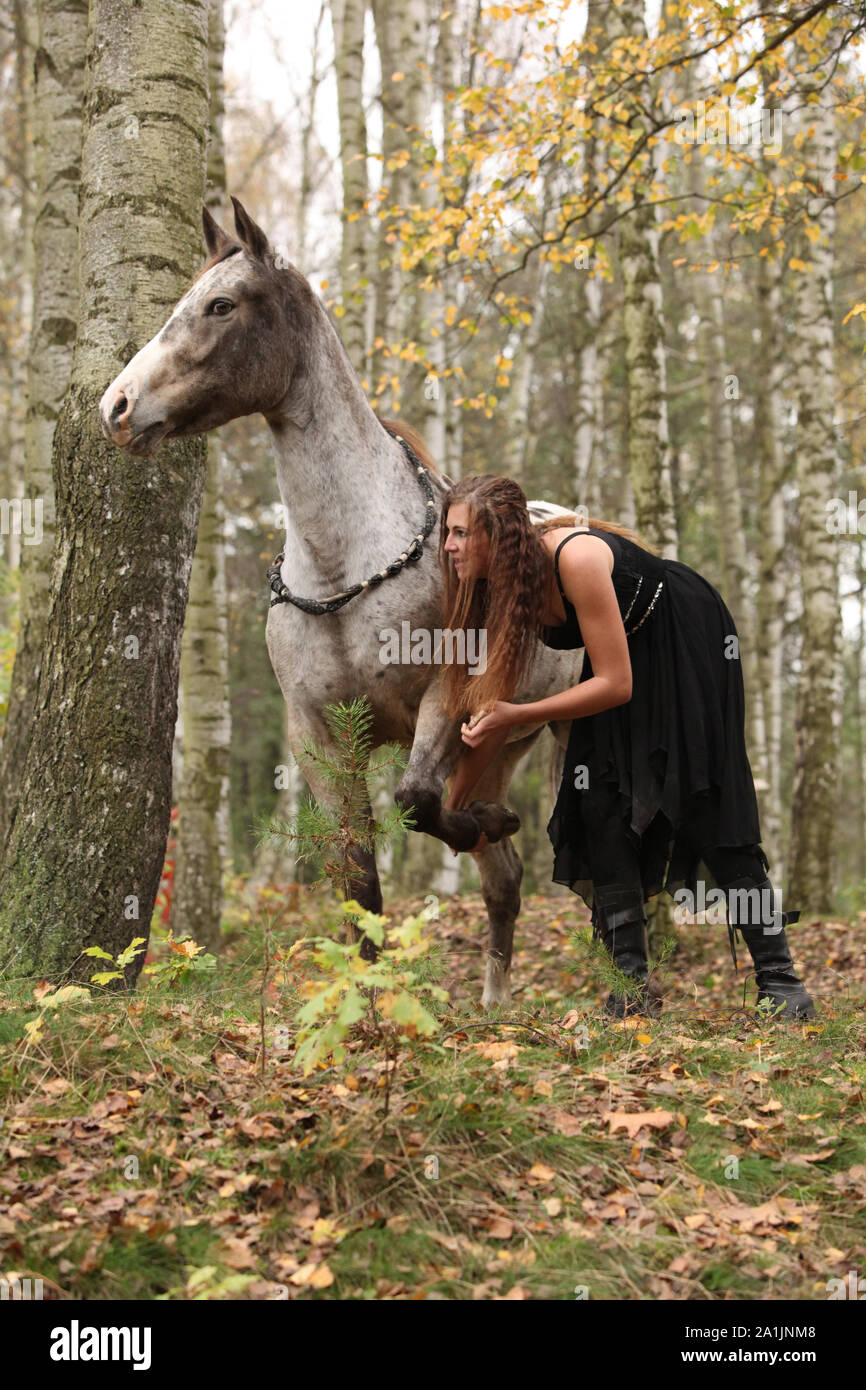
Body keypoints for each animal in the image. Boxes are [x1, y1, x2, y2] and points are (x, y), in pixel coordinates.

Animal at [100, 195, 583, 1006]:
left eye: (221, 305)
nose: (117, 407)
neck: (342, 569)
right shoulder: (318, 738)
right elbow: (359, 880)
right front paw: (367, 1002)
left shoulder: (442, 705)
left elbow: (416, 801)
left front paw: (481, 822)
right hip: (500, 741)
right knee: (505, 882)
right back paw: (492, 1002)